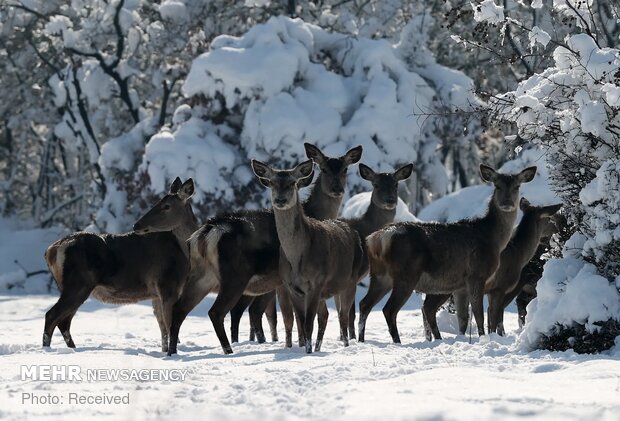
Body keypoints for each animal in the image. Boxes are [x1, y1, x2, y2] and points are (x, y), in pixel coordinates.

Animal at [43, 178, 197, 352]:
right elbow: (170, 328)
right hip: (77, 284)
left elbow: (163, 329)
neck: (183, 252)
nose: (136, 225)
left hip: (71, 287)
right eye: (158, 202)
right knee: (52, 315)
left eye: (166, 206)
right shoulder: (167, 285)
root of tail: (51, 250)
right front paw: (172, 353)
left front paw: (165, 351)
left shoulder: (157, 293)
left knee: (64, 321)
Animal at [156, 144, 364, 354]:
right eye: (324, 169)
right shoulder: (281, 281)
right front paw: (295, 345)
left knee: (179, 309)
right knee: (216, 312)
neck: (315, 214)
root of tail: (205, 234)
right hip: (234, 277)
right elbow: (290, 317)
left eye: (345, 169)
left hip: (201, 275)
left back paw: (172, 351)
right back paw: (228, 350)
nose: (337, 189)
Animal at [358, 162, 536, 342]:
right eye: (497, 185)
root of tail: (377, 238)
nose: (507, 203)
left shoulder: (461, 285)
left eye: (517, 186)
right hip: (406, 274)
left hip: (380, 275)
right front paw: (482, 338)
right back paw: (397, 342)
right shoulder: (477, 274)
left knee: (364, 304)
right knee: (389, 309)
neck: (492, 239)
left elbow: (463, 317)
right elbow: (479, 314)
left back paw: (361, 339)